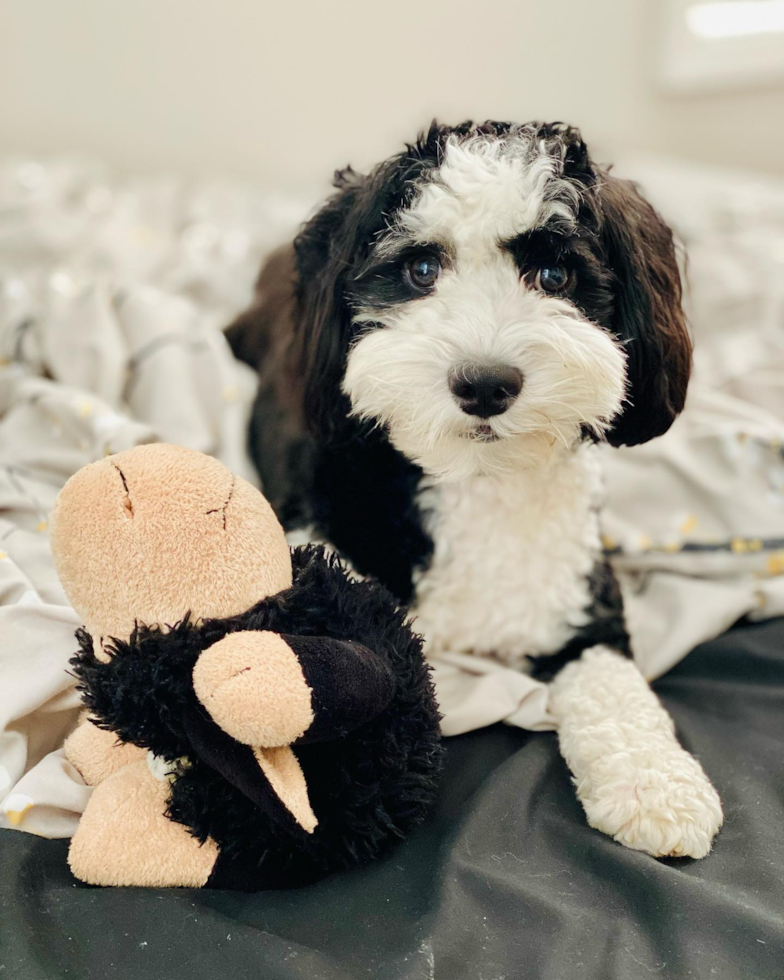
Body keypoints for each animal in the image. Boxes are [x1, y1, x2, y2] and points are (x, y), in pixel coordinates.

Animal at [225, 120, 724, 856]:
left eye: (555, 274)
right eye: (421, 270)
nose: (485, 383)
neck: (475, 481)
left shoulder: (579, 603)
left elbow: (615, 684)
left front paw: (656, 781)